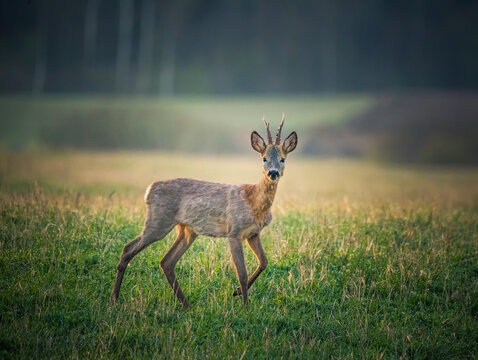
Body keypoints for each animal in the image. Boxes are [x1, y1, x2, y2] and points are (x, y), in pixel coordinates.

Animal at [110, 116, 296, 310]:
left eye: (283, 159)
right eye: (264, 158)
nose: (273, 173)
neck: (253, 201)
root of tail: (149, 190)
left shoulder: (253, 233)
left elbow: (264, 262)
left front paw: (236, 292)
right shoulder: (234, 231)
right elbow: (242, 273)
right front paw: (245, 307)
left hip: (187, 230)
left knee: (166, 262)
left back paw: (186, 305)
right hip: (158, 221)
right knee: (128, 249)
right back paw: (114, 298)